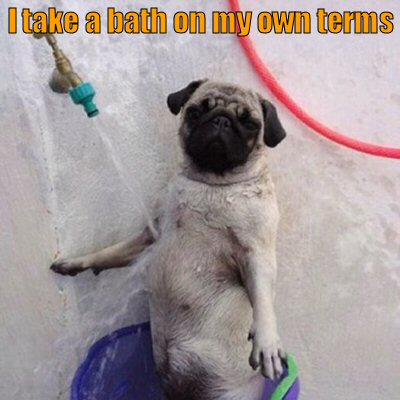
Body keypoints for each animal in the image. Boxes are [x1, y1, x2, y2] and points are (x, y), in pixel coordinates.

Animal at [51, 79, 288, 398]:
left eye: (249, 123)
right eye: (196, 111)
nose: (222, 120)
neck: (212, 184)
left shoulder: (256, 254)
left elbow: (262, 302)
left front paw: (267, 341)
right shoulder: (151, 235)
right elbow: (111, 252)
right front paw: (79, 262)